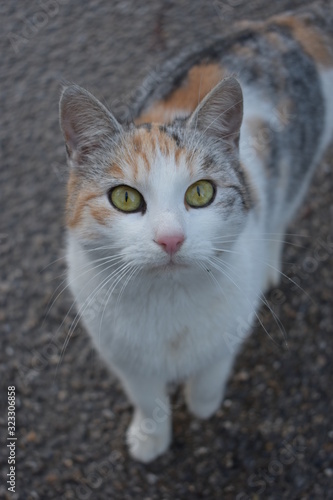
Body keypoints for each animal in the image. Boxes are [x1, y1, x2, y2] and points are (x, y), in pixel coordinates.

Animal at [59, 3, 332, 462]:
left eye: (201, 193)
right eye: (125, 198)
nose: (171, 238)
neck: (168, 304)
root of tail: (281, 25)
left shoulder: (225, 339)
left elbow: (209, 376)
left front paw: (202, 405)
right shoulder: (126, 358)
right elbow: (147, 398)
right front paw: (151, 438)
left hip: (300, 165)